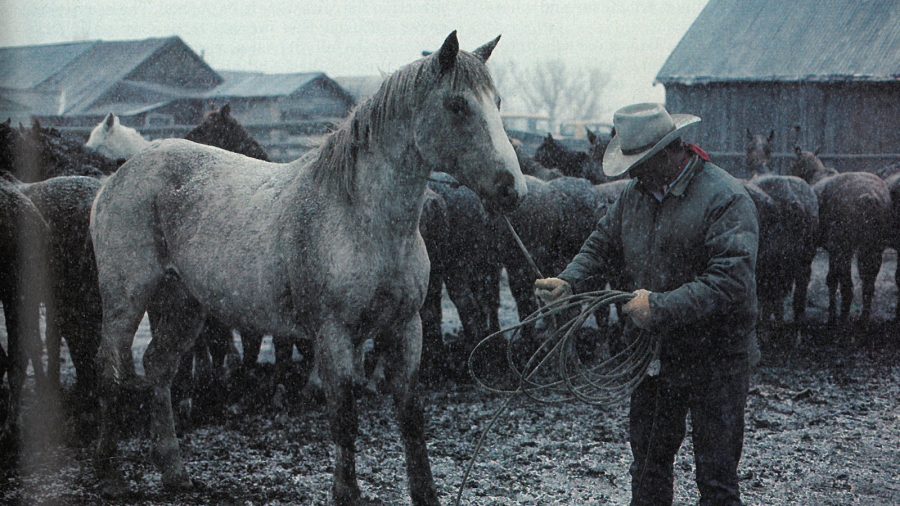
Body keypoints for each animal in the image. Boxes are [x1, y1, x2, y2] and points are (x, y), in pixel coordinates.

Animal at [89, 32, 525, 502]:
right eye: (457, 105)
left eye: (498, 102)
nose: (512, 190)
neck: (361, 218)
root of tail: (117, 178)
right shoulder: (333, 334)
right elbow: (344, 418)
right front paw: (346, 493)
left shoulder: (406, 326)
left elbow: (411, 416)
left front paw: (425, 493)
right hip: (127, 299)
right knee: (110, 370)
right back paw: (109, 474)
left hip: (184, 303)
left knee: (158, 366)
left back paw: (174, 471)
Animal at [786, 147, 890, 324]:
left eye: (794, 163)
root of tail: (870, 197)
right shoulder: (833, 249)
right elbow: (832, 279)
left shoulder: (819, 246)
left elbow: (816, 278)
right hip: (872, 247)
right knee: (868, 284)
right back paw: (863, 318)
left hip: (845, 247)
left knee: (847, 285)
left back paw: (841, 318)